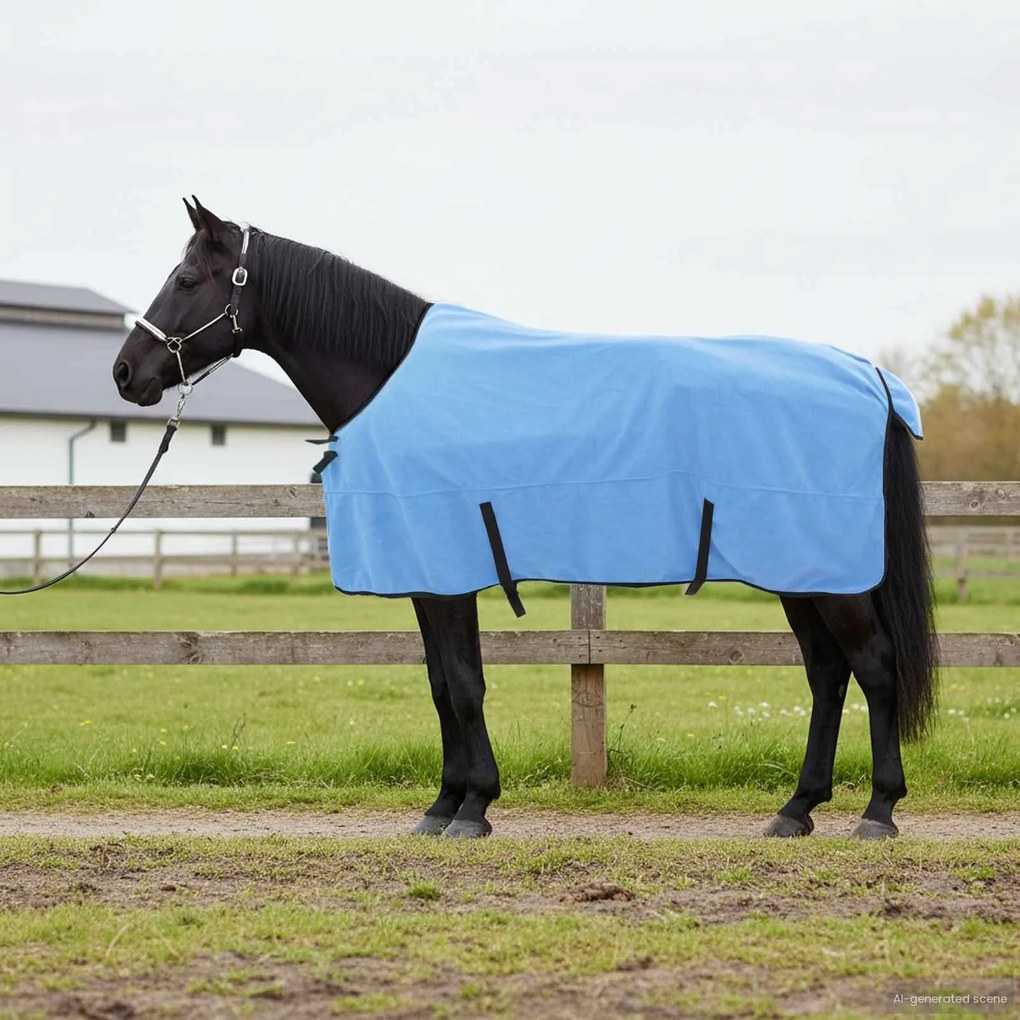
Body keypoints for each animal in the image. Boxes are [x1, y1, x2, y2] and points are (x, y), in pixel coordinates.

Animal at [112, 197, 938, 840]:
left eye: (186, 279)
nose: (125, 373)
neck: (399, 382)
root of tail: (867, 375)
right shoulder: (431, 576)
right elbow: (443, 682)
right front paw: (446, 804)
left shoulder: (446, 573)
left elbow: (463, 684)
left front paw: (472, 807)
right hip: (801, 571)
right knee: (828, 674)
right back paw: (796, 810)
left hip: (828, 575)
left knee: (874, 666)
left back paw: (878, 811)